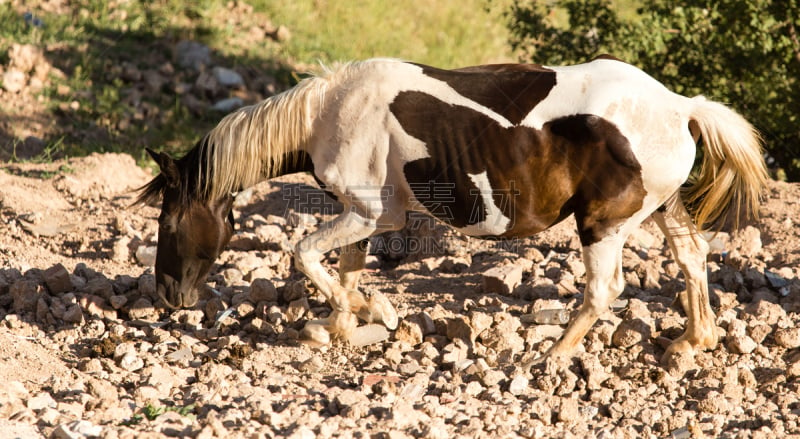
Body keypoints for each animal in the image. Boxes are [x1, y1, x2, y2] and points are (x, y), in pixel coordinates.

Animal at [138, 56, 768, 366]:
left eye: (168, 222)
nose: (168, 298)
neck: (329, 110)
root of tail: (682, 106)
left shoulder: (369, 213)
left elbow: (307, 257)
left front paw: (375, 314)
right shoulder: (367, 217)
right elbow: (343, 270)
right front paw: (340, 326)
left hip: (603, 224)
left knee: (603, 290)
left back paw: (550, 357)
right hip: (660, 209)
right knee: (692, 255)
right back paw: (691, 341)